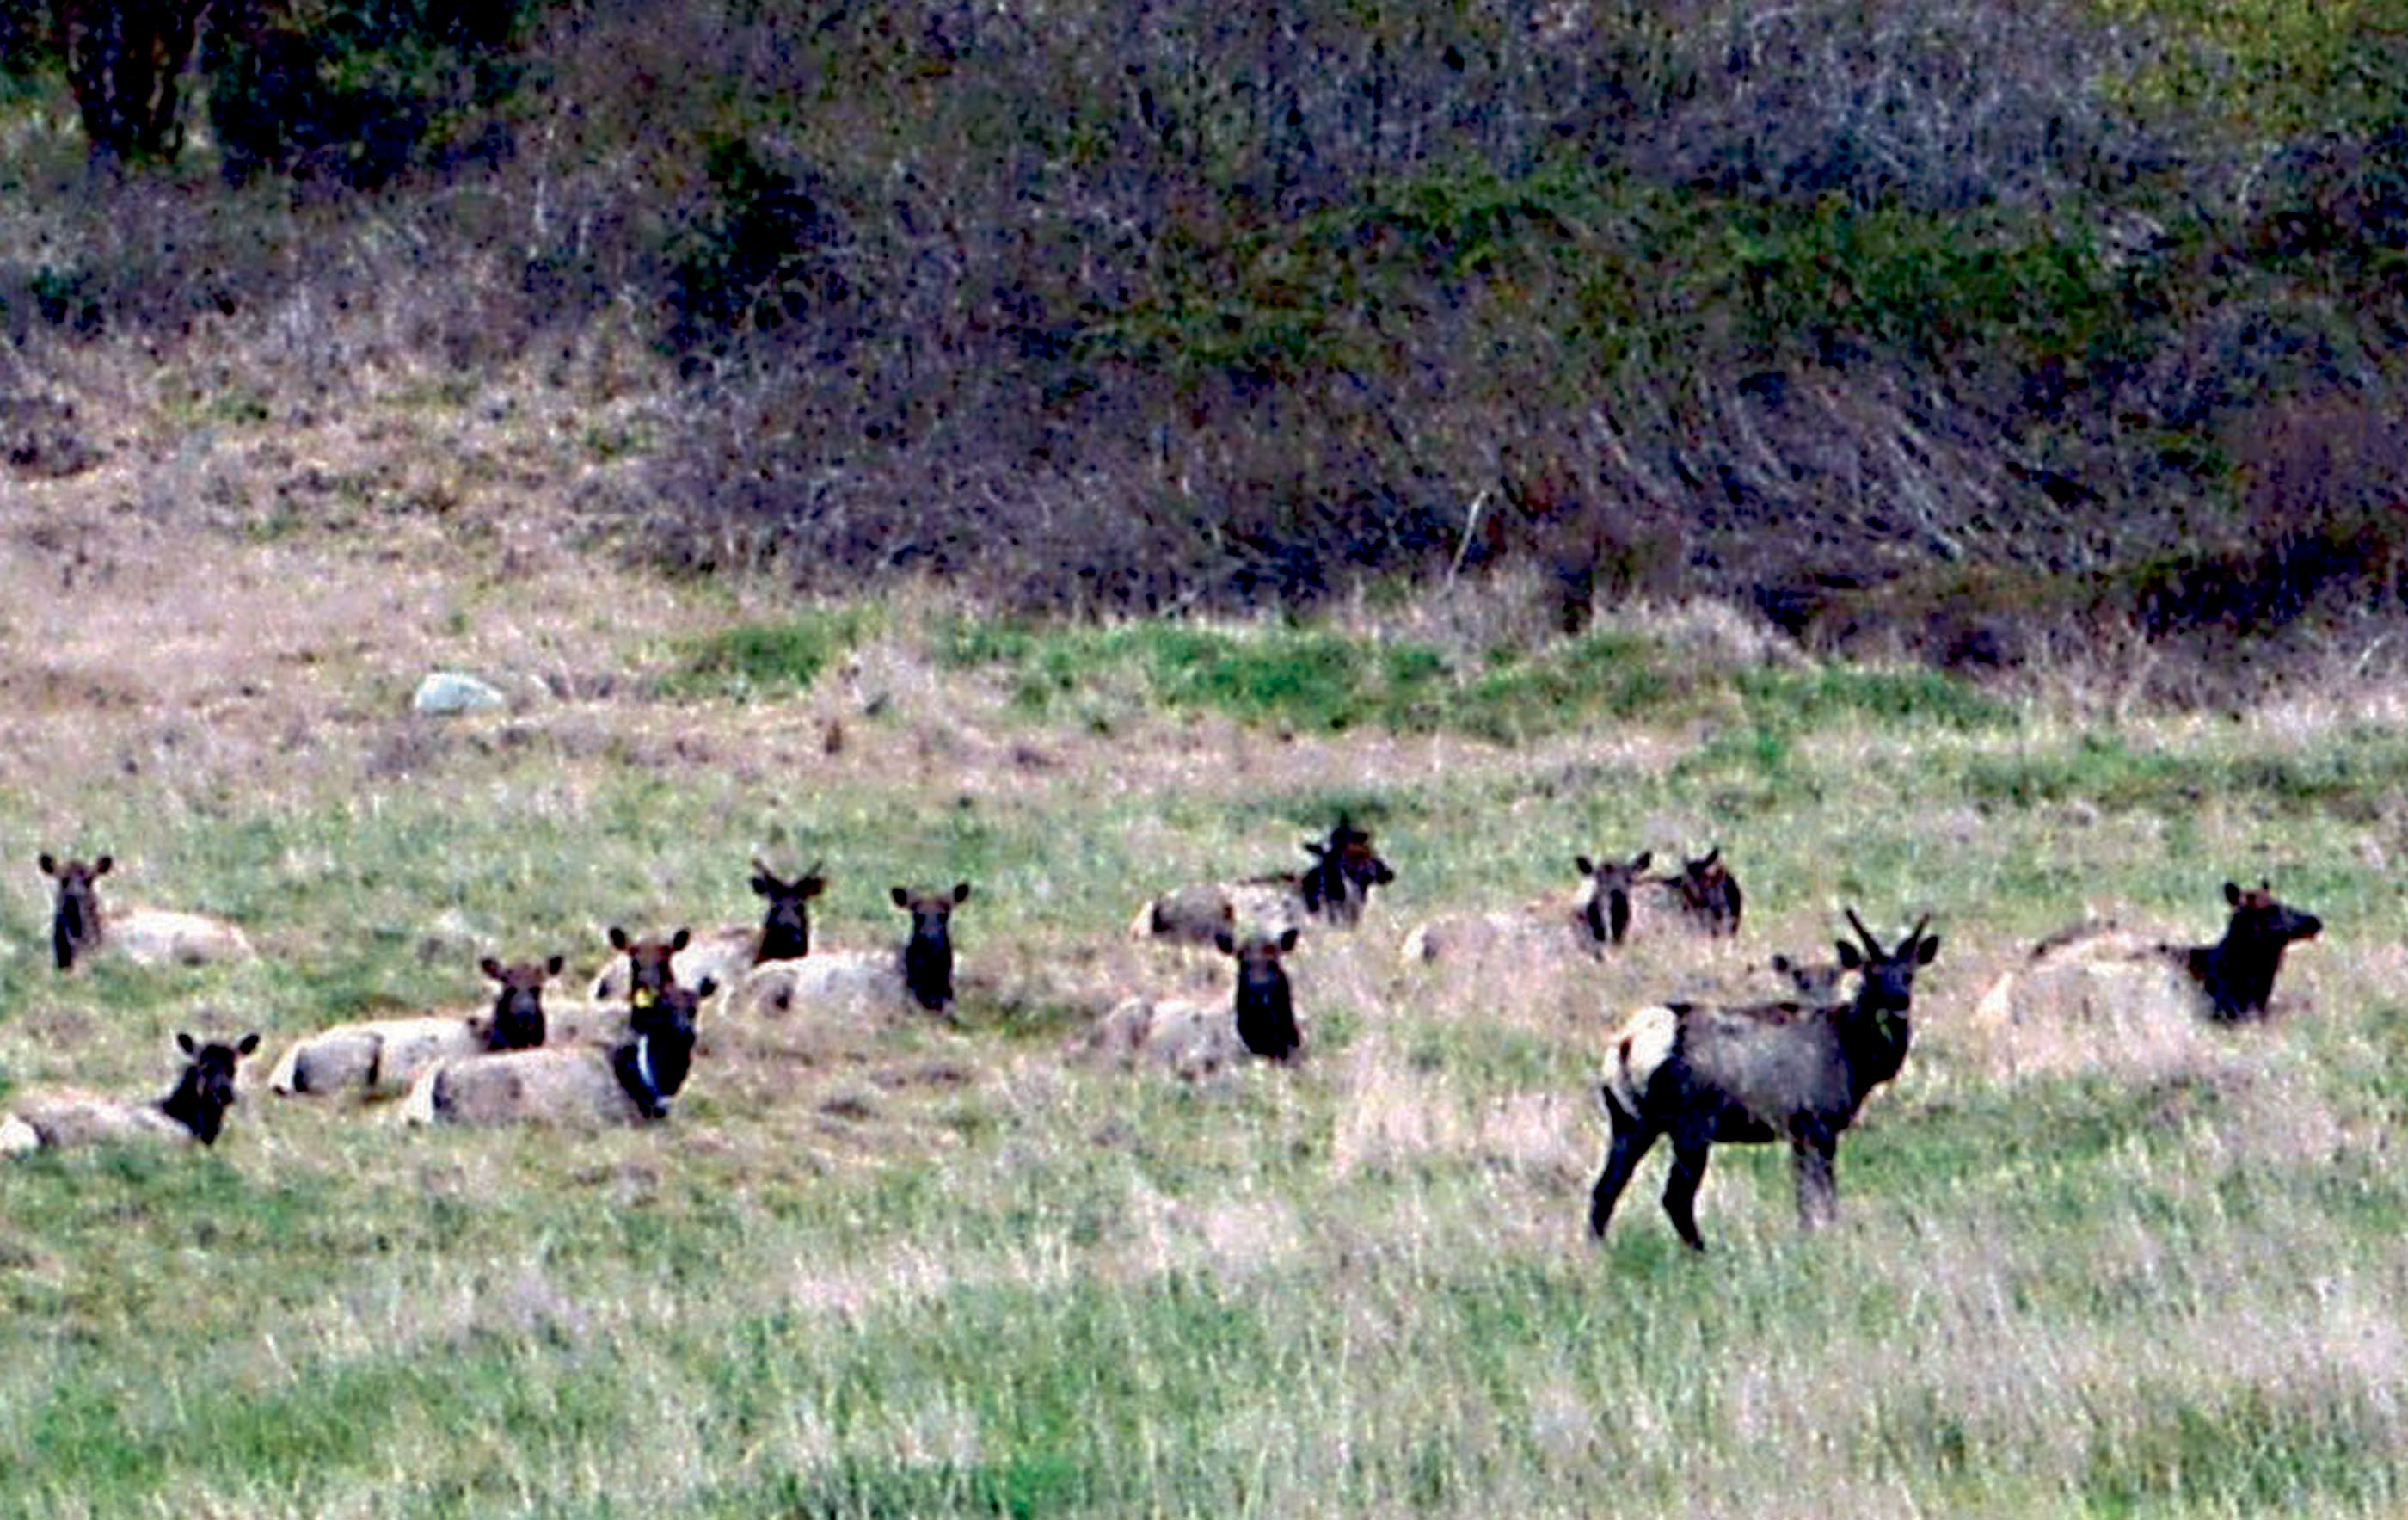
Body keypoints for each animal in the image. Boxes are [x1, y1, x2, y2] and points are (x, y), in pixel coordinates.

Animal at [1589, 910, 1940, 1251]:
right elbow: (1825, 1197)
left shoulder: (1797, 1132)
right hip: (1692, 1123)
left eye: (1909, 975)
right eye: (1871, 975)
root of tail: (1628, 1042)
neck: (1858, 1060)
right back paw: (1703, 1252)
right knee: (1675, 1197)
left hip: (1629, 1121)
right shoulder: (1820, 1123)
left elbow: (1804, 1199)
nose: (1899, 1002)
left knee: (1604, 1190)